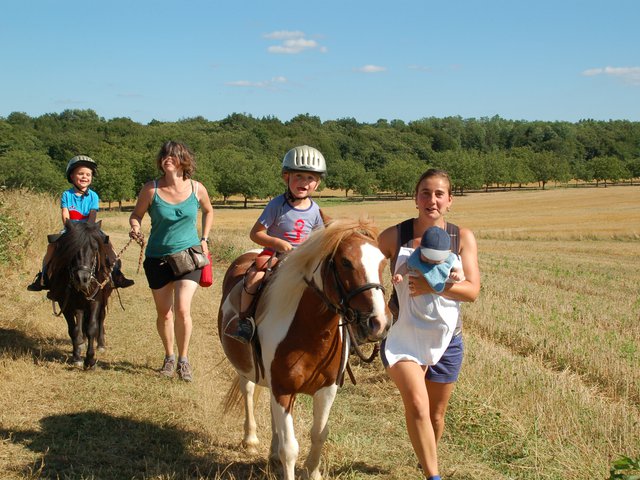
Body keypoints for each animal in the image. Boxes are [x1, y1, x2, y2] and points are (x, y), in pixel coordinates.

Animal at [47, 219, 112, 370]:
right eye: (72, 247)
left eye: (95, 248)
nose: (82, 278)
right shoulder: (65, 303)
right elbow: (74, 330)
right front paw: (77, 357)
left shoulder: (95, 301)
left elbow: (92, 328)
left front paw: (90, 360)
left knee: (101, 318)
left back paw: (101, 344)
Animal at [218, 218, 392, 480]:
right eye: (345, 262)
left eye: (383, 261)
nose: (379, 322)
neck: (309, 332)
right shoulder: (283, 390)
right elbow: (290, 449)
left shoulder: (326, 389)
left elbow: (319, 434)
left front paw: (313, 471)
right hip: (245, 369)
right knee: (247, 392)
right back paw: (250, 440)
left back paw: (271, 452)